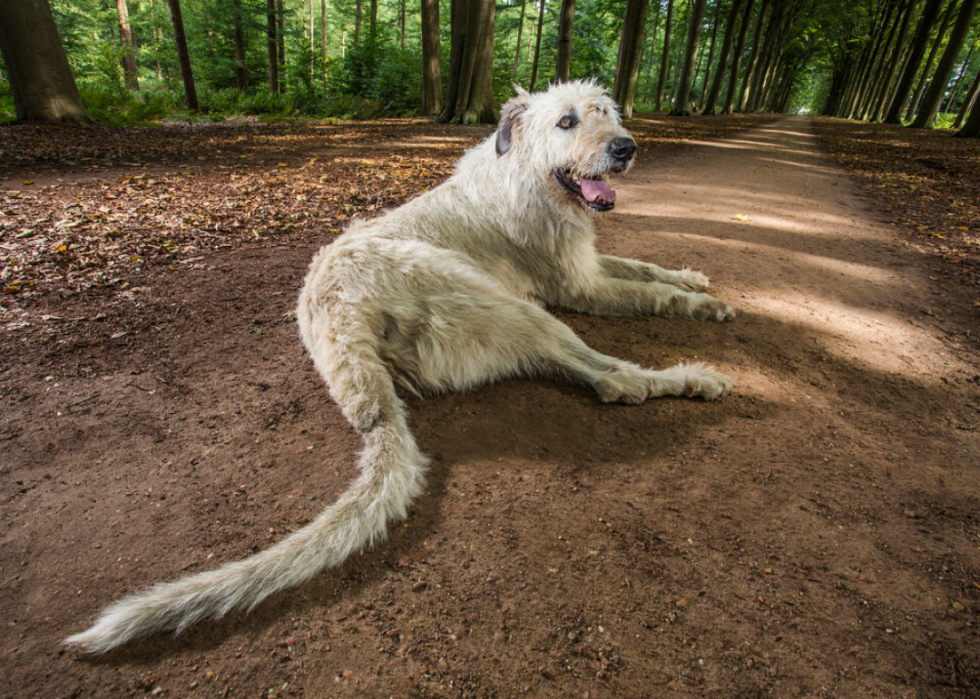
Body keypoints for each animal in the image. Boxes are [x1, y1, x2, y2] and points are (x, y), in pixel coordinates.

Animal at [65, 82, 732, 656]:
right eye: (566, 122)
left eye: (607, 113)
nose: (626, 147)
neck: (525, 173)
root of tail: (342, 327)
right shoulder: (577, 286)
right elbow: (647, 293)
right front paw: (703, 305)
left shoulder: (589, 263)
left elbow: (644, 268)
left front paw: (692, 277)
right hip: (507, 304)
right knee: (615, 379)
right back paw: (693, 377)